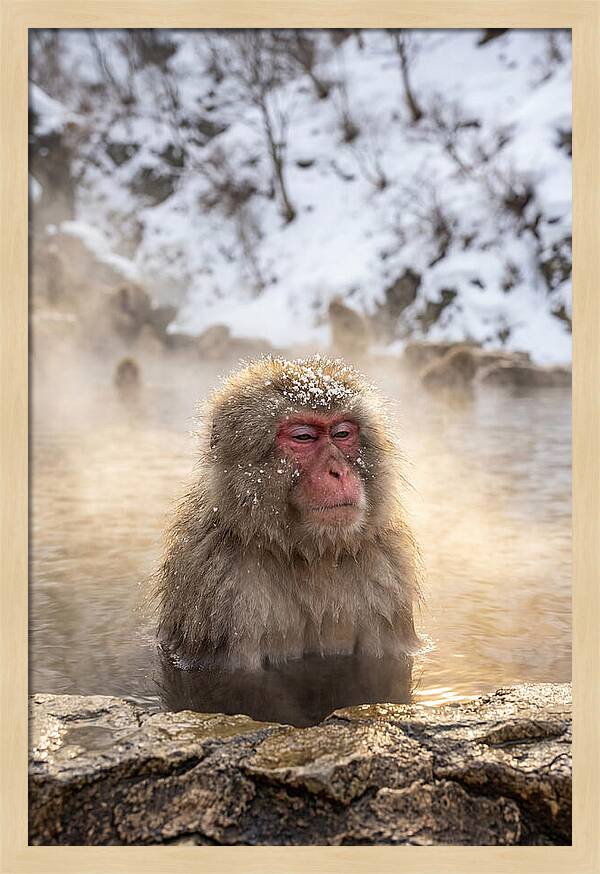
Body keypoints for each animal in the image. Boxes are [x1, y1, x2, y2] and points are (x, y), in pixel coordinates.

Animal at [154, 355, 421, 671]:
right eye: (303, 437)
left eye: (342, 433)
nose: (338, 471)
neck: (310, 555)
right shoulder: (220, 587)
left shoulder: (387, 576)